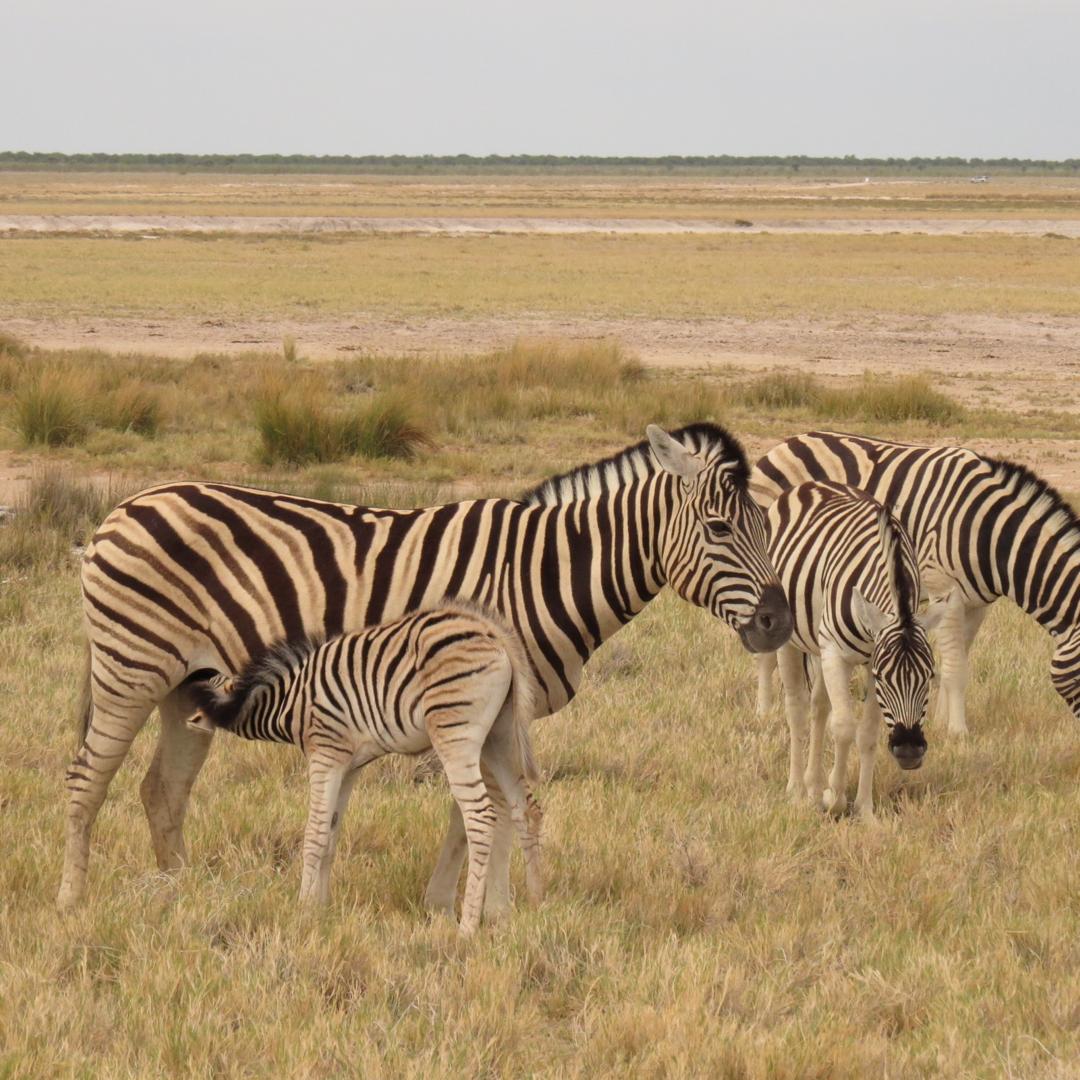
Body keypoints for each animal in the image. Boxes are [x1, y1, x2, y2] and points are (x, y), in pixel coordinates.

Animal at [187, 600, 543, 935]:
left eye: (200, 690)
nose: (187, 720)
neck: (289, 701)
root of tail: (491, 631)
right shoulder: (349, 765)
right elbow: (331, 834)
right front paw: (322, 910)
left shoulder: (326, 753)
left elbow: (314, 834)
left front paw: (303, 910)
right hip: (500, 734)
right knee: (525, 807)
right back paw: (532, 905)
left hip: (455, 733)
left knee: (481, 816)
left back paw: (467, 927)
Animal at [751, 430, 1080, 735]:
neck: (990, 532)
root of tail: (786, 442)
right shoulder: (944, 590)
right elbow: (955, 668)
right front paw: (957, 732)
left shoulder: (977, 604)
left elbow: (958, 659)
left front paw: (940, 721)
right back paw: (765, 712)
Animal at [768, 481, 949, 818]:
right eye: (884, 679)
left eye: (929, 677)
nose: (908, 750)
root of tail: (812, 484)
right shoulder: (840, 655)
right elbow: (843, 728)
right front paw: (835, 799)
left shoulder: (864, 660)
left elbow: (866, 735)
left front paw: (865, 809)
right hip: (791, 637)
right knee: (797, 709)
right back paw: (796, 791)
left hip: (819, 646)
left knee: (819, 707)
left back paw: (812, 787)